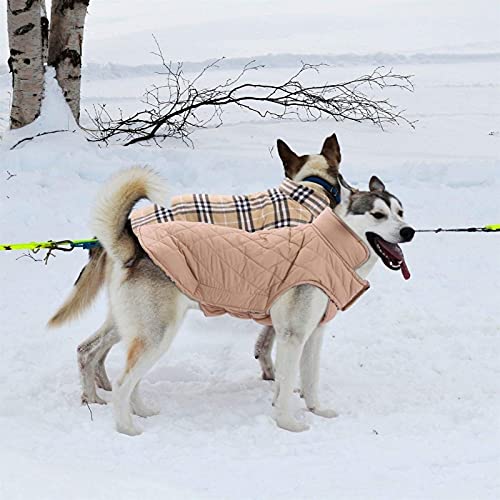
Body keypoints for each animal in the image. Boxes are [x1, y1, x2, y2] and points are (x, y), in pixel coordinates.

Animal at [71, 167, 414, 434]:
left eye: (401, 212)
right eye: (378, 215)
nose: (409, 231)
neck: (332, 247)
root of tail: (137, 247)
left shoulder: (313, 335)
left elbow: (310, 379)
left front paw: (317, 410)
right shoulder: (292, 336)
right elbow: (288, 382)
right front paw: (288, 423)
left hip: (136, 330)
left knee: (111, 365)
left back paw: (139, 410)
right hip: (156, 335)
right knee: (122, 382)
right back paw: (127, 428)